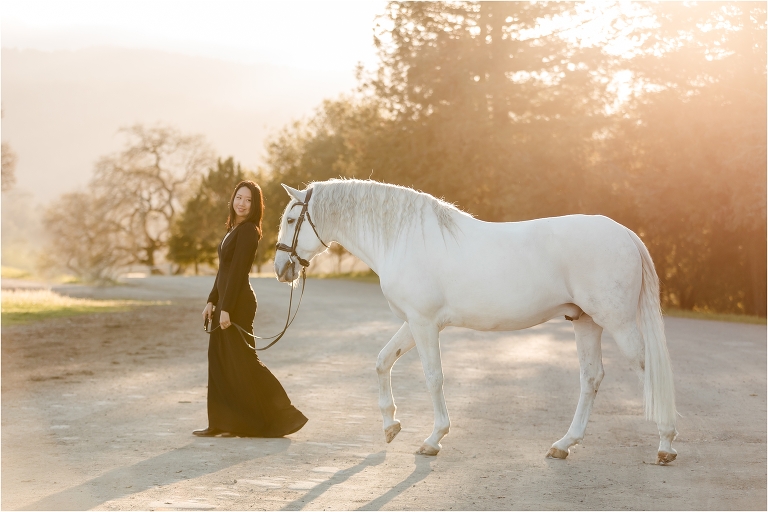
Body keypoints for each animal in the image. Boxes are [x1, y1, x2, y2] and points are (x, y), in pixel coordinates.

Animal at [273, 179, 678, 464]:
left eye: (292, 219)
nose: (280, 269)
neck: (403, 239)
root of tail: (625, 234)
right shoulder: (414, 323)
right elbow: (382, 361)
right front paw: (391, 426)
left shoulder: (424, 324)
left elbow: (433, 378)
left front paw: (433, 439)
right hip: (586, 322)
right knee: (591, 378)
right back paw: (564, 444)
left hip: (618, 323)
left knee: (649, 370)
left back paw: (666, 443)